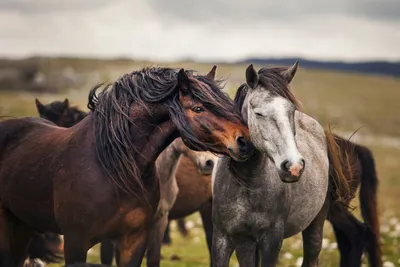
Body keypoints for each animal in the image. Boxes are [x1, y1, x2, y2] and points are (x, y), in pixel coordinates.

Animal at [211, 62, 352, 267]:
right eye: (258, 113)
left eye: (291, 111)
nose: (294, 167)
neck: (246, 183)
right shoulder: (223, 239)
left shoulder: (272, 240)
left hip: (315, 225)